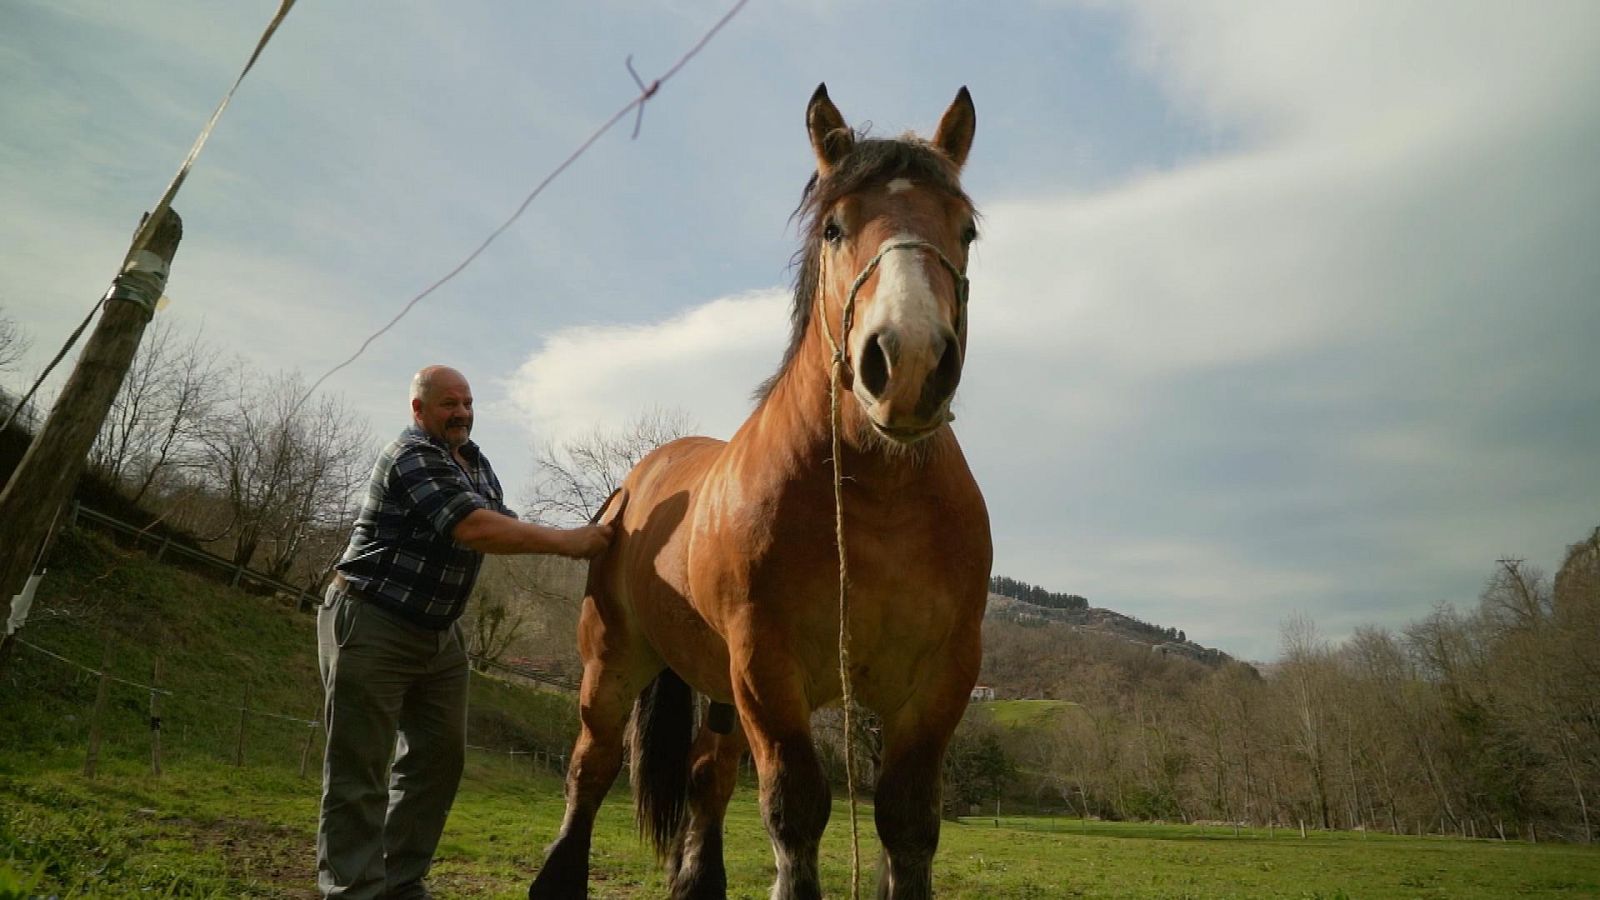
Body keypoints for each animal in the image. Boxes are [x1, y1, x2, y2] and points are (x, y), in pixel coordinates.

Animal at [531, 84, 992, 896]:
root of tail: (634, 488)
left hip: (717, 693)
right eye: (836, 227)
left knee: (707, 778)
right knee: (592, 768)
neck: (876, 505)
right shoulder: (767, 673)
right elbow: (794, 814)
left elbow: (908, 825)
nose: (907, 362)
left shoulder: (937, 683)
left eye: (965, 230)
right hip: (613, 665)